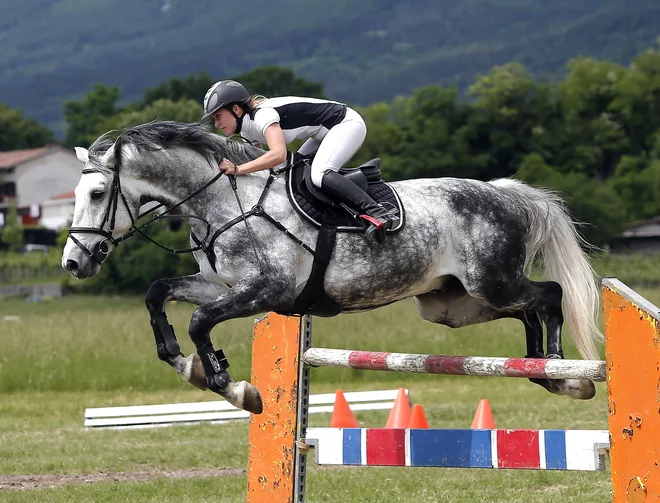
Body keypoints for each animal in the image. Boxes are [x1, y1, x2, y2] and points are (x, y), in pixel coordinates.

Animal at [62, 121, 604, 414]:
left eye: (97, 193)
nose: (73, 262)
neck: (220, 201)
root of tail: (504, 193)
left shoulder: (266, 290)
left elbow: (199, 321)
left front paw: (234, 387)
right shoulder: (219, 284)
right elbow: (158, 293)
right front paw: (186, 363)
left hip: (491, 282)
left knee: (549, 296)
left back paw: (565, 373)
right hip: (453, 304)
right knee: (527, 310)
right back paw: (542, 371)